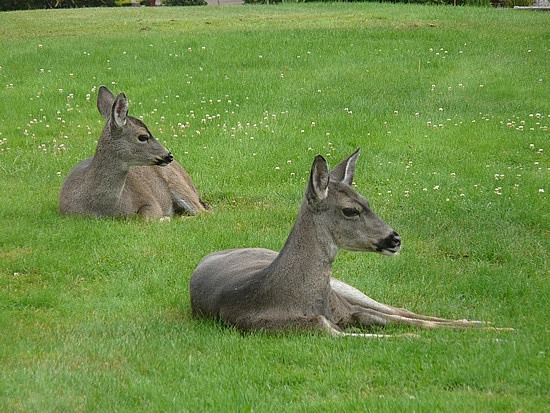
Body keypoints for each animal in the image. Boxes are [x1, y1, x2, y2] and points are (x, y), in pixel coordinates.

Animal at [58, 84, 207, 219]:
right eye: (143, 137)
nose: (169, 155)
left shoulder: (149, 200)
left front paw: (165, 218)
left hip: (178, 182)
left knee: (203, 212)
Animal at [190, 150, 508, 336]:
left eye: (367, 201)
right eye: (350, 210)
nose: (395, 238)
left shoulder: (347, 310)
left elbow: (405, 319)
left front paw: (497, 328)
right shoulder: (298, 329)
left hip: (344, 287)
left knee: (398, 309)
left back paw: (476, 322)